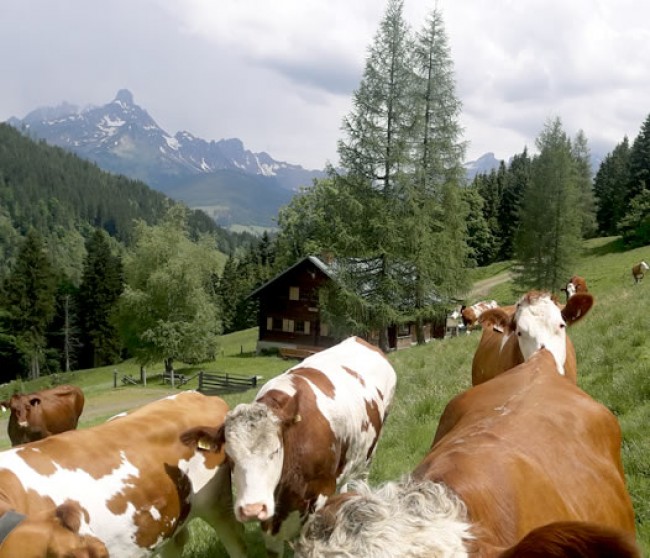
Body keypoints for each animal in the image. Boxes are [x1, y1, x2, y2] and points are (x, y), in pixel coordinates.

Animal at [180, 336, 398, 558]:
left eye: (276, 451)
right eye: (230, 457)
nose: (252, 509)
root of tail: (357, 339)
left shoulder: (319, 497)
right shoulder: (270, 518)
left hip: (370, 451)